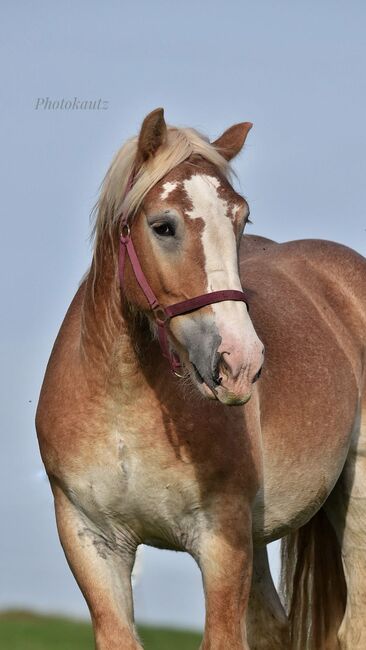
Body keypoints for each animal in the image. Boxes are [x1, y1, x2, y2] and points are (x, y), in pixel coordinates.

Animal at [35, 109, 366, 644]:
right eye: (163, 226)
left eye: (241, 219)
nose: (240, 362)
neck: (123, 402)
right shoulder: (92, 542)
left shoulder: (221, 541)